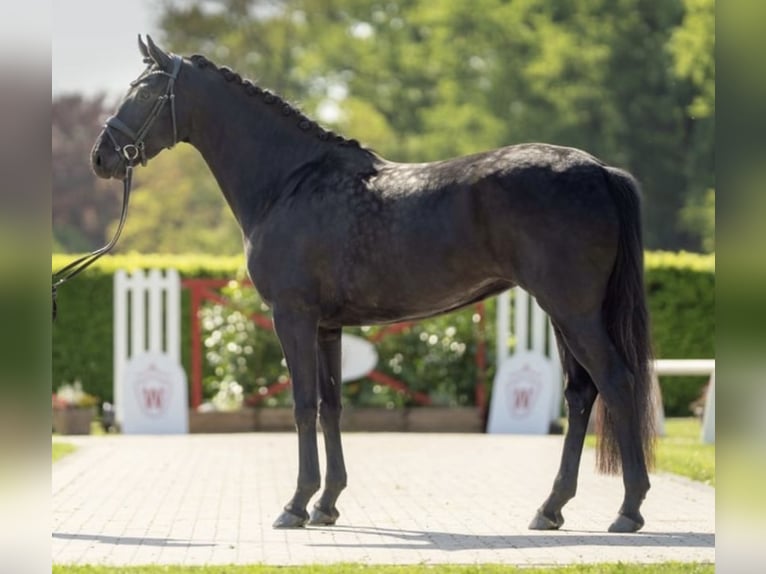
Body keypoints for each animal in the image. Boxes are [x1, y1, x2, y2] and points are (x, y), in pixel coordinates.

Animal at [88, 37, 656, 536]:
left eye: (145, 92)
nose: (101, 157)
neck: (289, 182)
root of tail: (598, 169)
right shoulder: (328, 327)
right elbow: (331, 406)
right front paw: (327, 504)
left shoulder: (292, 316)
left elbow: (302, 405)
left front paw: (295, 505)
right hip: (562, 314)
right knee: (581, 394)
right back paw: (551, 508)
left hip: (574, 312)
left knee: (617, 383)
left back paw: (628, 510)